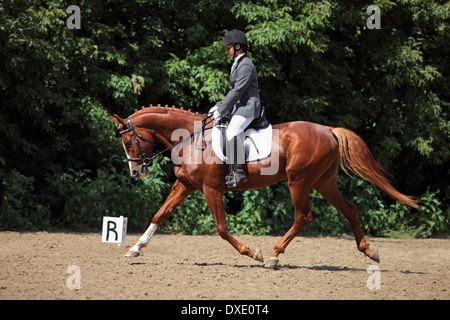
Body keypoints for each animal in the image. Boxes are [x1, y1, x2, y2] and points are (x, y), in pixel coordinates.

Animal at [112, 106, 418, 268]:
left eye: (128, 142)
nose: (136, 172)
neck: (191, 139)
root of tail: (328, 130)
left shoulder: (211, 189)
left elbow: (221, 228)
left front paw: (252, 252)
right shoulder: (185, 185)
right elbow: (160, 214)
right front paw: (135, 248)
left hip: (299, 181)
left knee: (303, 216)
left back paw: (272, 256)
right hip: (323, 182)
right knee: (350, 209)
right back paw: (369, 250)